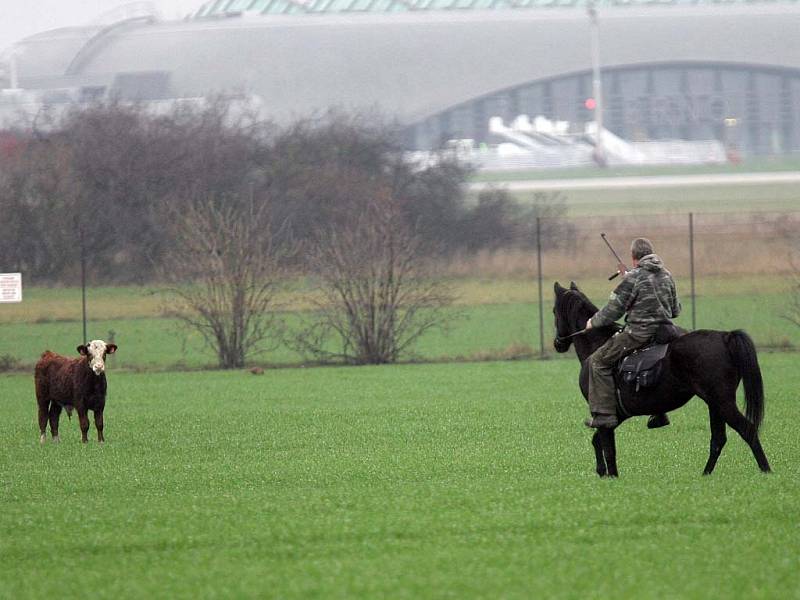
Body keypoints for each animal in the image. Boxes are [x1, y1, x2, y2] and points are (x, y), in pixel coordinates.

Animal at [552, 282, 772, 478]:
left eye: (554, 312)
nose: (557, 344)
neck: (597, 345)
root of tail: (725, 337)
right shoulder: (617, 415)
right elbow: (598, 440)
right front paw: (603, 472)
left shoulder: (604, 412)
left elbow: (606, 445)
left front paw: (610, 474)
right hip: (715, 404)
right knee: (718, 439)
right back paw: (706, 474)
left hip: (722, 402)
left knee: (747, 429)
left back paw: (766, 470)